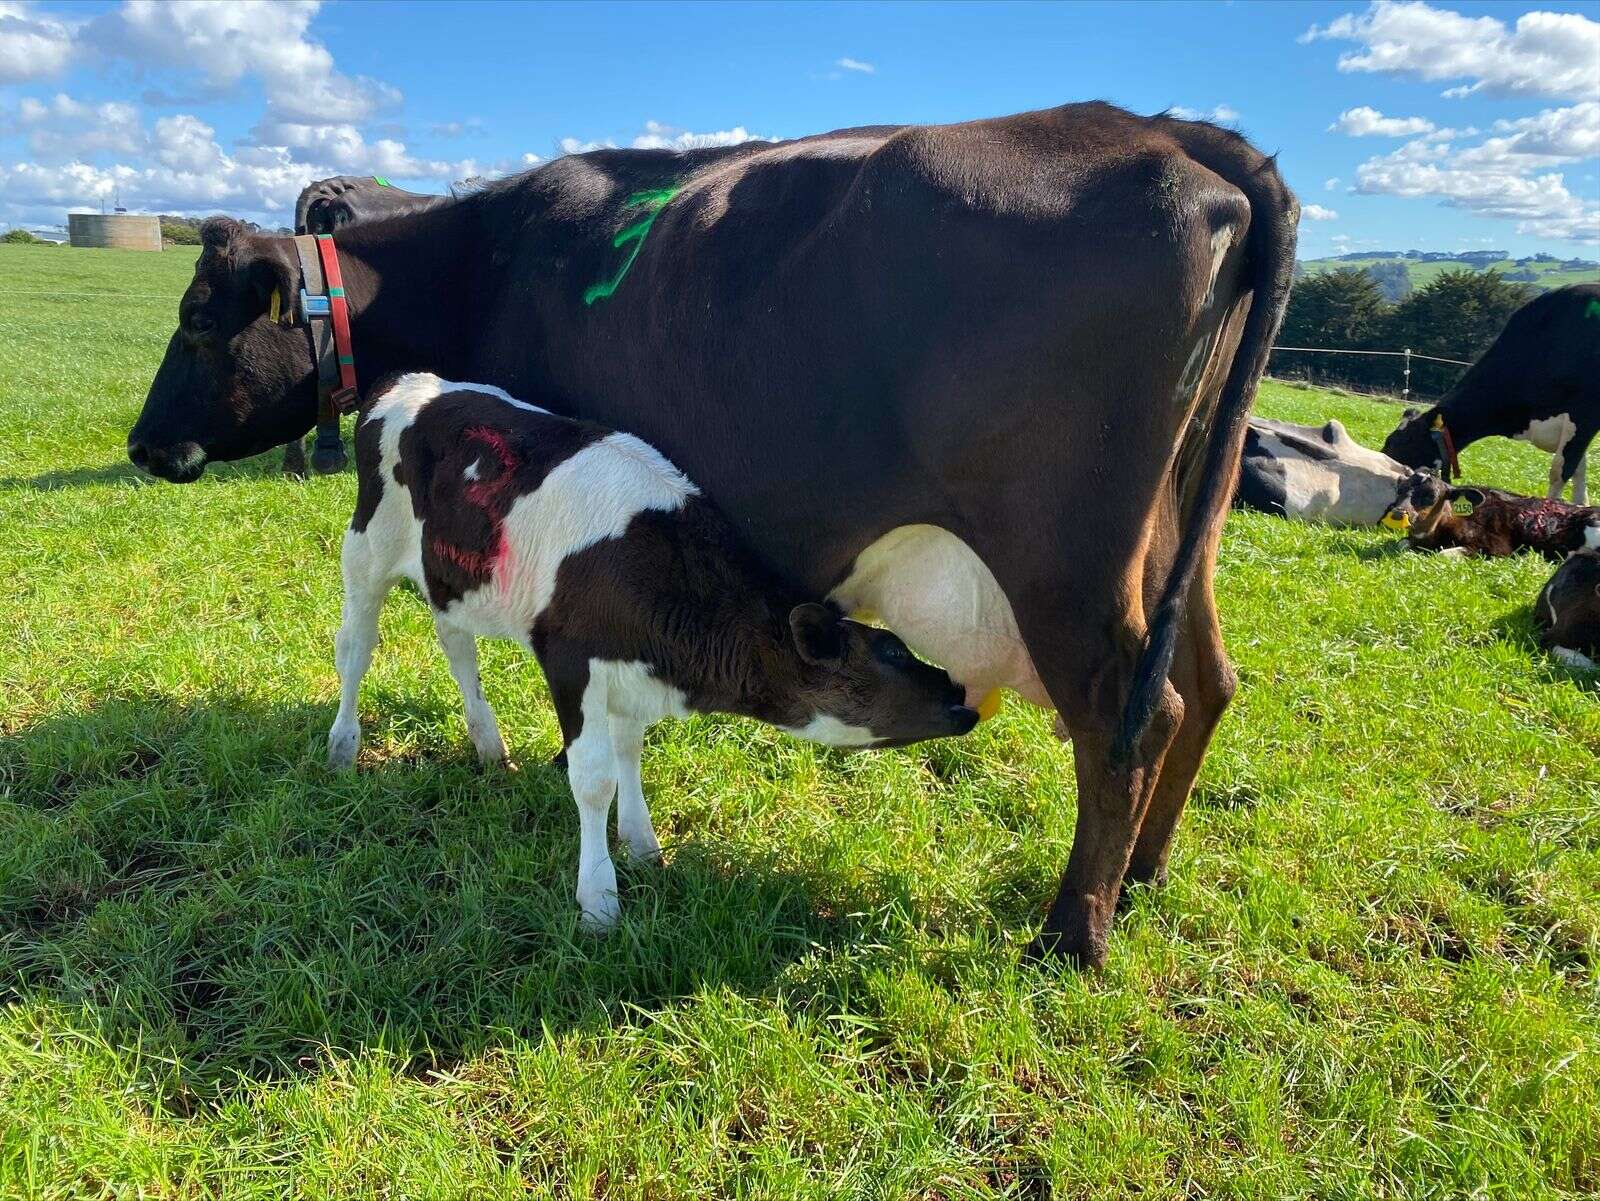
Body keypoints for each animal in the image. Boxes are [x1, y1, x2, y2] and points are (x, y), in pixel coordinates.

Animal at [331, 372, 979, 927]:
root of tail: (404, 381)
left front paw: (642, 844)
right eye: (893, 652)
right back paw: (343, 746)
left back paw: (489, 746)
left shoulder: (631, 672)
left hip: (452, 576)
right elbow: (594, 777)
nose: (960, 692)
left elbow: (630, 752)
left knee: (457, 645)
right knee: (356, 646)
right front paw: (599, 898)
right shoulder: (572, 662)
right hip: (365, 548)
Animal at [1381, 471, 1600, 561]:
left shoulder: (1496, 547)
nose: (1398, 513)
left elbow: (1442, 554)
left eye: (1430, 496)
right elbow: (1401, 543)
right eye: (1400, 489)